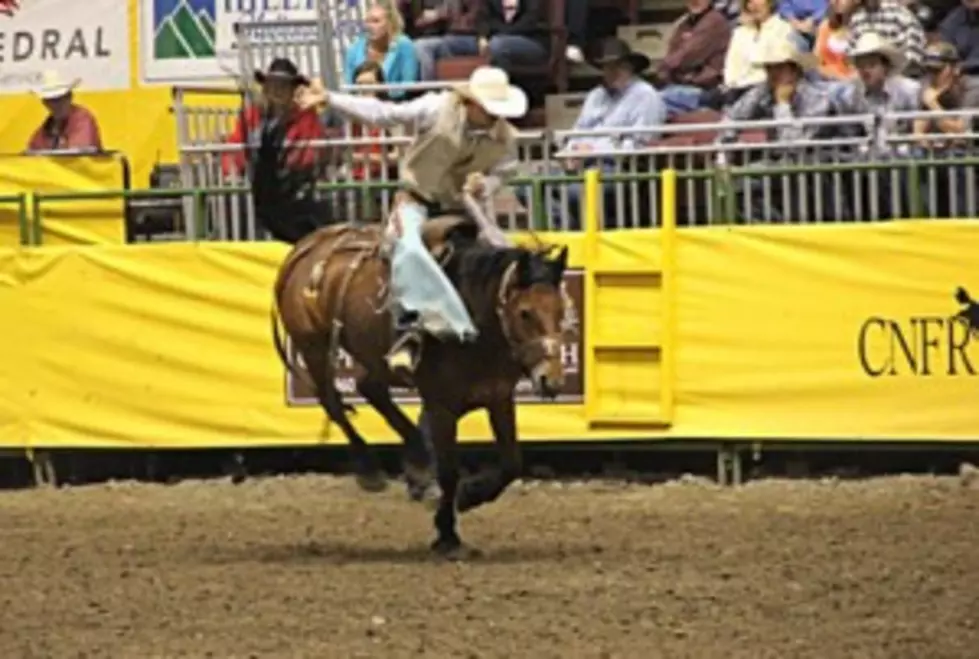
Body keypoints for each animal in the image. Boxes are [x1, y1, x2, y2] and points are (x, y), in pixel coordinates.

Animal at [256, 126, 572, 556]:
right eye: (525, 313)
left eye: (562, 309)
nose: (550, 380)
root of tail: (311, 241)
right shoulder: (440, 406)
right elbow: (451, 470)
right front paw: (448, 534)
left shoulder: (498, 396)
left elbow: (512, 463)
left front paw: (469, 497)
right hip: (313, 345)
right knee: (333, 400)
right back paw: (372, 470)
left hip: (373, 355)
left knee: (368, 387)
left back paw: (419, 465)